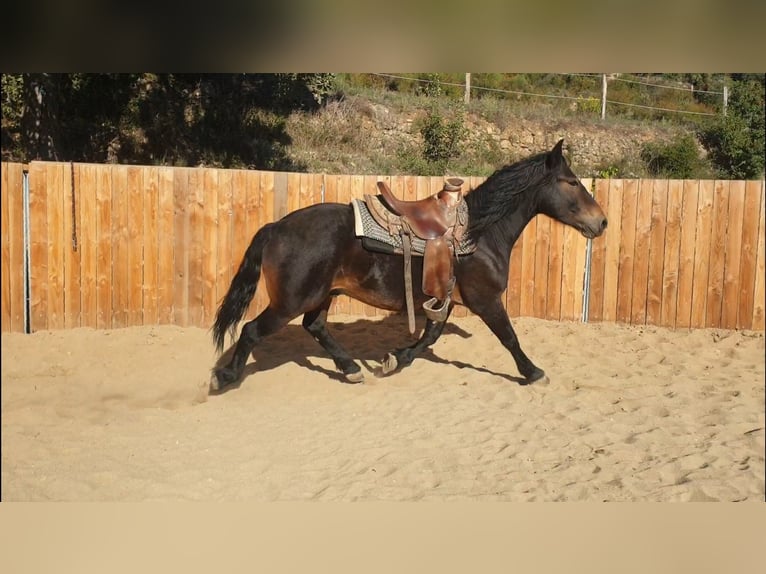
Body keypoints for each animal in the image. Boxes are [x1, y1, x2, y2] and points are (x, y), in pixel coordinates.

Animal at [210, 139, 607, 391]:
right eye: (572, 182)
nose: (601, 222)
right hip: (290, 302)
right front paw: (534, 373)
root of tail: (275, 227)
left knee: (316, 327)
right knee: (252, 331)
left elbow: (428, 338)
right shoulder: (485, 300)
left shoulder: (445, 300)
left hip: (322, 295)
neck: (478, 233)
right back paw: (224, 378)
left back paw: (351, 369)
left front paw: (395, 359)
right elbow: (509, 337)